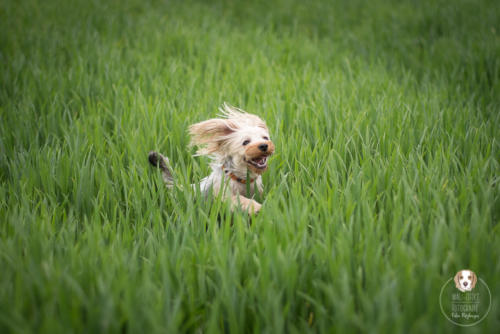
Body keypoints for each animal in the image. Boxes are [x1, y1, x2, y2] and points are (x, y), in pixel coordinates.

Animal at [146, 103, 276, 214]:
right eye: (245, 142)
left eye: (265, 138)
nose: (264, 145)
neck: (242, 178)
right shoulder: (223, 194)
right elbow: (238, 199)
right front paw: (256, 207)